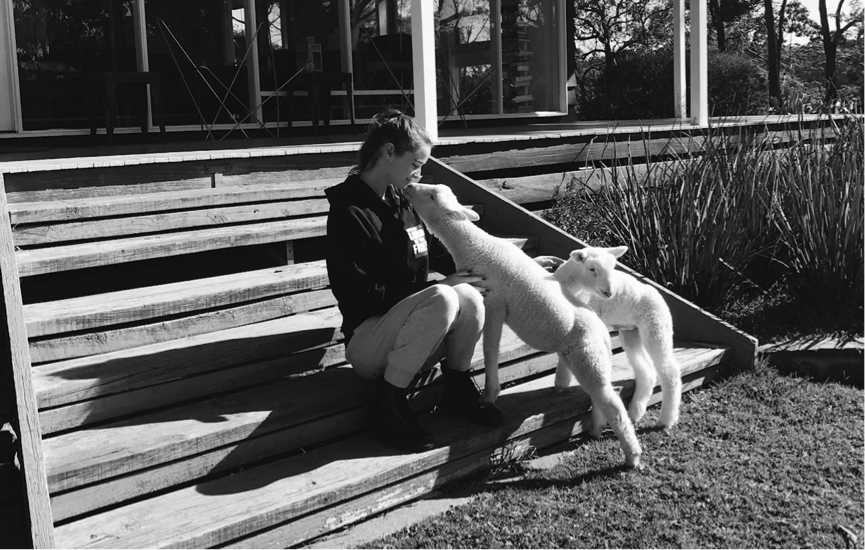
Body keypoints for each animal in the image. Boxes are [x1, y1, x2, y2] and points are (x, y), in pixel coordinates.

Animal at [404, 183, 640, 468]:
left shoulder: (494, 302)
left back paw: (632, 456)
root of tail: (604, 334)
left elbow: (489, 349)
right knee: (599, 396)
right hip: (588, 360)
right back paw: (594, 428)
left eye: (431, 197)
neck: (474, 247)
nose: (408, 186)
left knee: (613, 404)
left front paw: (489, 395)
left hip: (589, 358)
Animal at [552, 247, 680, 432]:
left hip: (657, 326)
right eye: (591, 268)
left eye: (613, 268)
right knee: (647, 372)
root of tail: (660, 295)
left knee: (670, 371)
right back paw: (634, 413)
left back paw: (665, 420)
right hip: (631, 333)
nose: (610, 293)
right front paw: (561, 384)